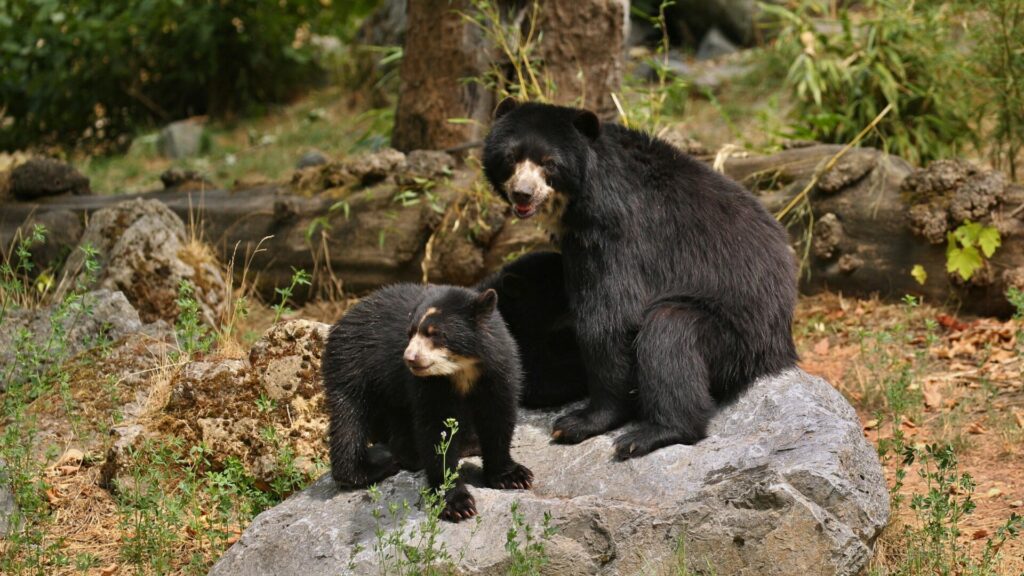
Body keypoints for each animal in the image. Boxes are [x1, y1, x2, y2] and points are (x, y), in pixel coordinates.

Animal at [325, 282, 536, 520]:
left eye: (435, 334)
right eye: (410, 333)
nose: (409, 358)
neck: (463, 369)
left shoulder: (497, 371)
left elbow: (497, 416)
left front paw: (514, 476)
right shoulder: (429, 385)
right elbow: (436, 429)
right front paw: (457, 503)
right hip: (352, 364)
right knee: (349, 418)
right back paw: (374, 467)